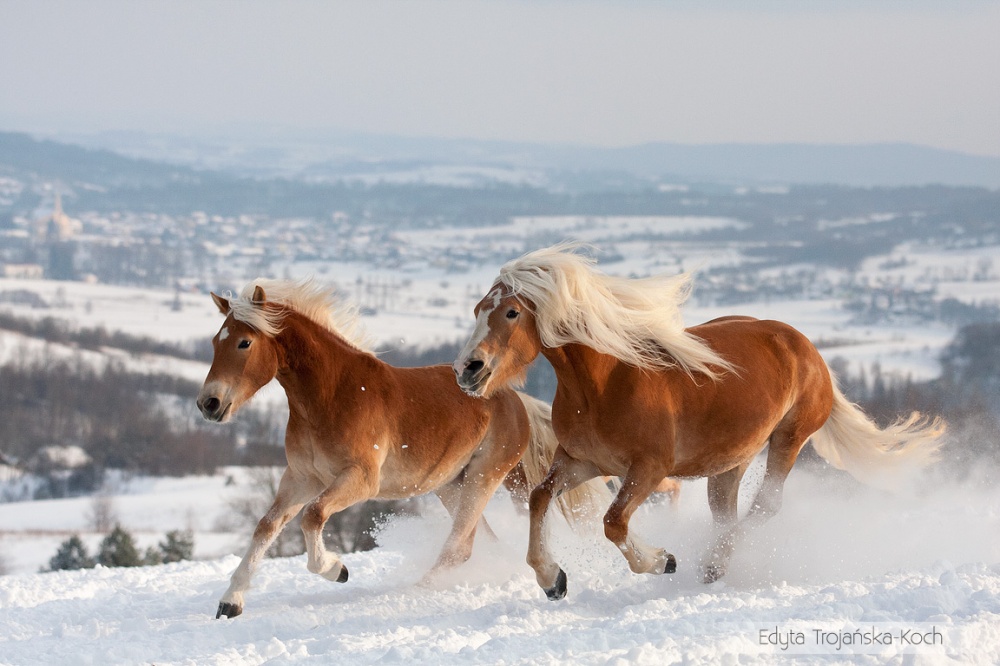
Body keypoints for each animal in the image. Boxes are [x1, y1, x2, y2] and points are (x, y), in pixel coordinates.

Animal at [197, 276, 600, 616]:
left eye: (244, 342)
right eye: (216, 342)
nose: (209, 404)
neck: (329, 396)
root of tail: (516, 400)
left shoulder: (360, 480)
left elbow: (312, 516)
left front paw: (336, 569)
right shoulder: (301, 478)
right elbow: (266, 526)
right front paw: (230, 602)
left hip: (483, 477)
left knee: (457, 546)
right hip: (451, 485)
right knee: (476, 542)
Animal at [454, 244, 944, 596]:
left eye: (512, 312)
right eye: (477, 309)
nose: (467, 370)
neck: (603, 384)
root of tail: (806, 348)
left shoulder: (649, 470)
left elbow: (613, 522)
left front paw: (662, 561)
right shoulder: (582, 462)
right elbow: (540, 497)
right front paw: (552, 579)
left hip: (790, 438)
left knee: (765, 506)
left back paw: (711, 563)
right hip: (730, 463)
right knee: (725, 513)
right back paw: (713, 569)